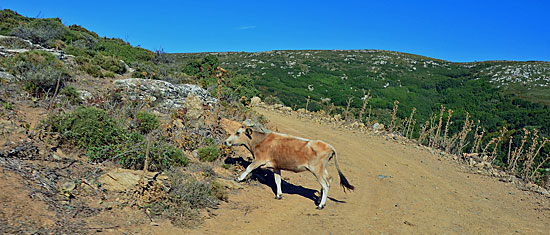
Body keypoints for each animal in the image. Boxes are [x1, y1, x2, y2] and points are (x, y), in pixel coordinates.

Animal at [223, 119, 356, 209]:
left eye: (238, 132)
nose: (225, 142)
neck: (261, 141)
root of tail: (329, 146)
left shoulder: (259, 160)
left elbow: (249, 167)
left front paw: (238, 178)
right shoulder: (276, 166)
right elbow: (277, 180)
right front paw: (279, 195)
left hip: (317, 171)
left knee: (325, 185)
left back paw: (320, 205)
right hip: (323, 170)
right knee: (329, 180)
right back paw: (319, 199)